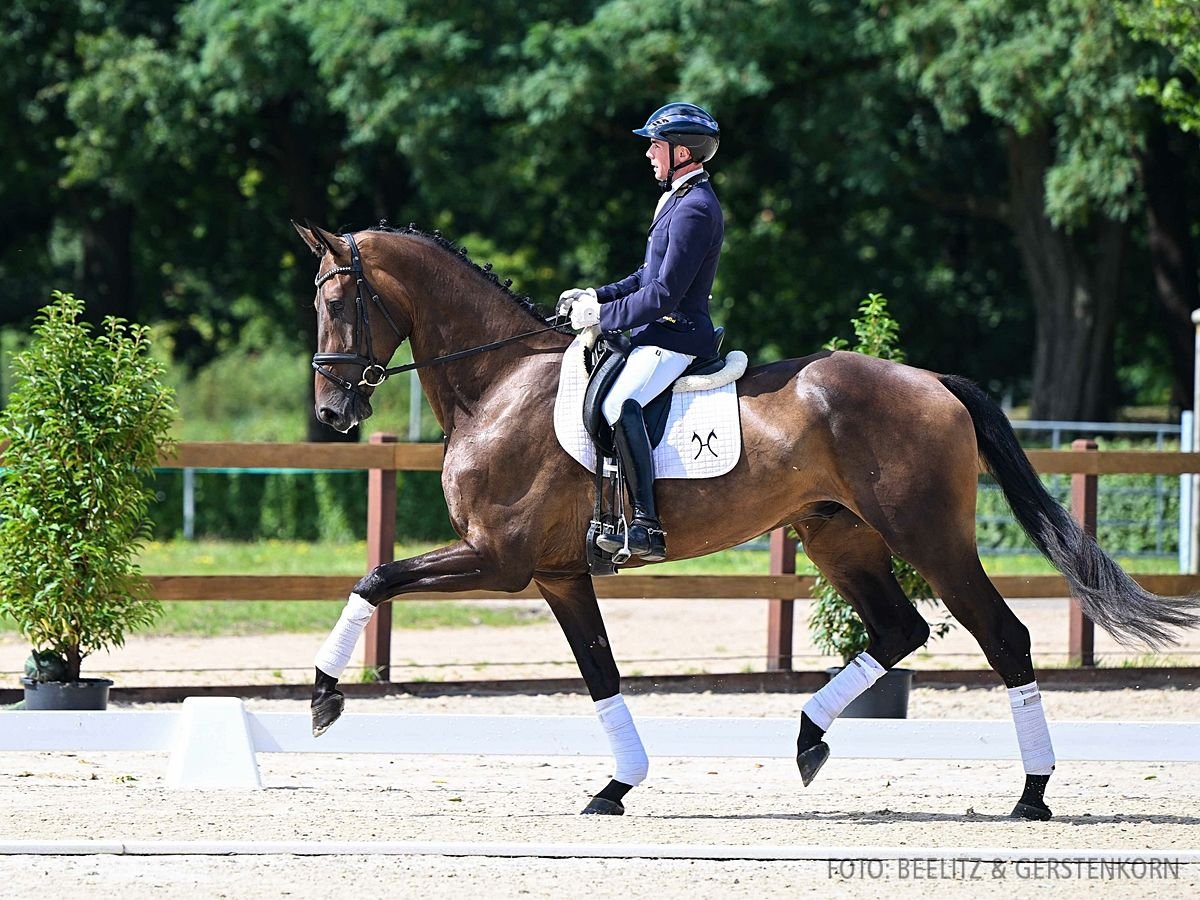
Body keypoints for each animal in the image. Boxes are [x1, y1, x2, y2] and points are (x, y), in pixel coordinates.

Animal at [292, 222, 1200, 820]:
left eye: (342, 301)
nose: (334, 413)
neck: (498, 382)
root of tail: (931, 381)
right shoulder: (557, 574)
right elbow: (600, 673)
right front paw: (616, 787)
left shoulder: (499, 558)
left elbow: (374, 577)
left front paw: (324, 696)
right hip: (837, 535)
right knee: (900, 630)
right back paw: (807, 738)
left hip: (928, 537)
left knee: (1002, 636)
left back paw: (1033, 794)